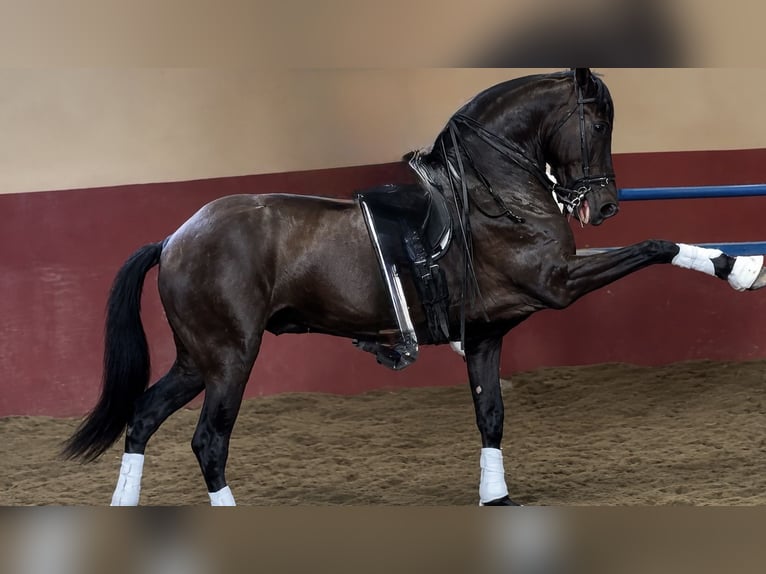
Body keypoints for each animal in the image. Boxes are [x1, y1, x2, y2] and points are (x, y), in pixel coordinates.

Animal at [63, 68, 766, 505]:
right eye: (597, 124)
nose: (606, 207)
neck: (493, 192)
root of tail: (175, 238)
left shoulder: (486, 334)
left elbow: (491, 415)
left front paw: (495, 495)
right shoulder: (557, 284)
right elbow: (654, 248)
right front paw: (740, 269)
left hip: (197, 359)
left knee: (142, 418)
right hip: (232, 358)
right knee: (208, 441)